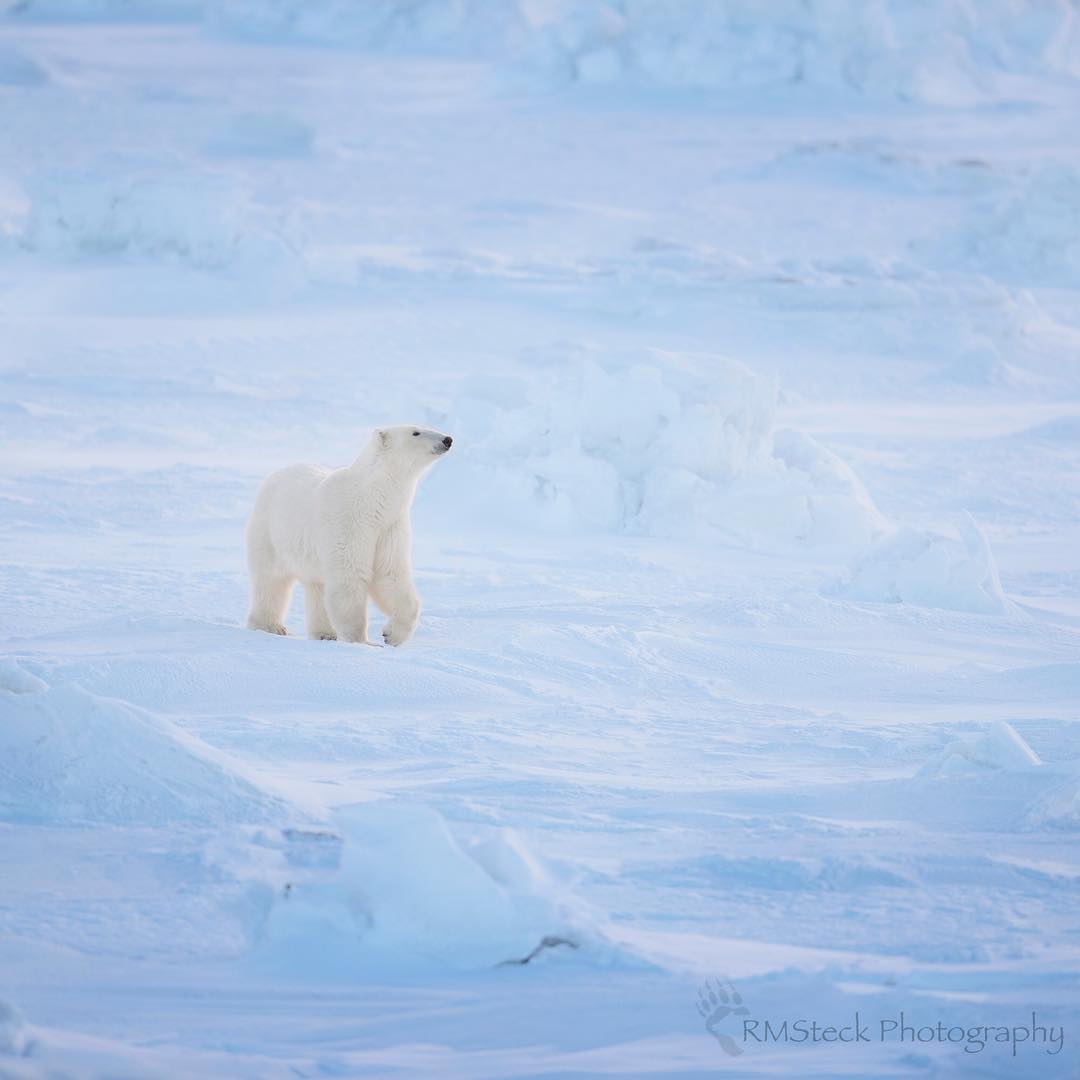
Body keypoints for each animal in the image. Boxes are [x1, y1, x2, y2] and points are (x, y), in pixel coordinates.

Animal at [245, 425, 451, 643]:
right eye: (415, 432)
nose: (448, 439)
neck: (370, 500)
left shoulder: (389, 527)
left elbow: (390, 574)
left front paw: (392, 636)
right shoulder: (349, 522)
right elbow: (350, 577)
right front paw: (361, 641)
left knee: (317, 585)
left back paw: (324, 634)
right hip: (270, 532)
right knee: (271, 579)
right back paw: (270, 626)